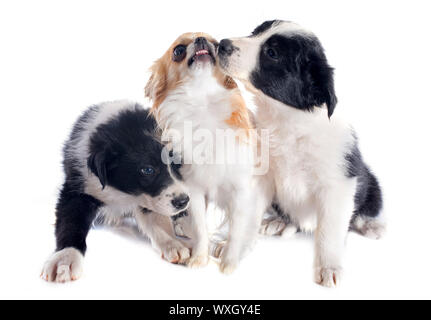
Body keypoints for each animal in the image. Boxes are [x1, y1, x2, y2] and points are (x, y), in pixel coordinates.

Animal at [41, 100, 191, 282]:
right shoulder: (77, 188)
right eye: (148, 170)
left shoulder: (150, 199)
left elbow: (156, 219)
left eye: (177, 163)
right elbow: (71, 221)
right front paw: (65, 258)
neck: (122, 193)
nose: (183, 201)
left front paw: (172, 243)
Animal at [146, 31, 260, 272]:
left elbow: (236, 230)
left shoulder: (241, 190)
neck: (203, 104)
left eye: (216, 45)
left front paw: (229, 262)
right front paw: (199, 258)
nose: (200, 40)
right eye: (178, 50)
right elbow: (200, 228)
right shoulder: (195, 191)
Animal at [219, 21, 384, 288]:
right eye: (255, 32)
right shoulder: (260, 177)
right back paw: (279, 222)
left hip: (370, 181)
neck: (288, 121)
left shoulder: (337, 184)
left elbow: (329, 230)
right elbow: (249, 215)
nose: (222, 44)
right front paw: (233, 250)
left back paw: (371, 225)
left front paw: (328, 267)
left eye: (272, 53)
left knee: (364, 209)